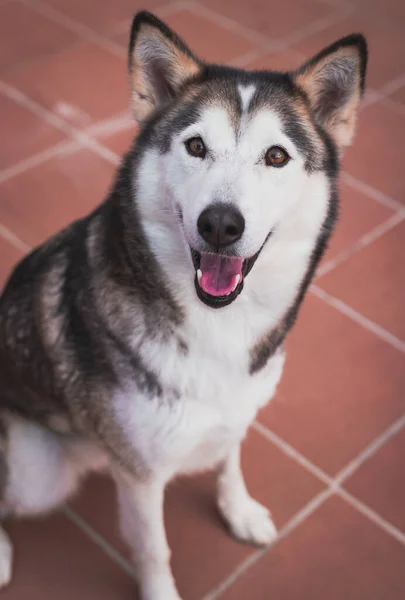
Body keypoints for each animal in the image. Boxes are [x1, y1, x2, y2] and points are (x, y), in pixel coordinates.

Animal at [0, 11, 366, 596]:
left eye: (277, 156)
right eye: (196, 147)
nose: (220, 224)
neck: (218, 324)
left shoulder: (238, 407)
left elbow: (230, 460)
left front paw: (238, 510)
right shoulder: (141, 475)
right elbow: (154, 549)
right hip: (39, 471)